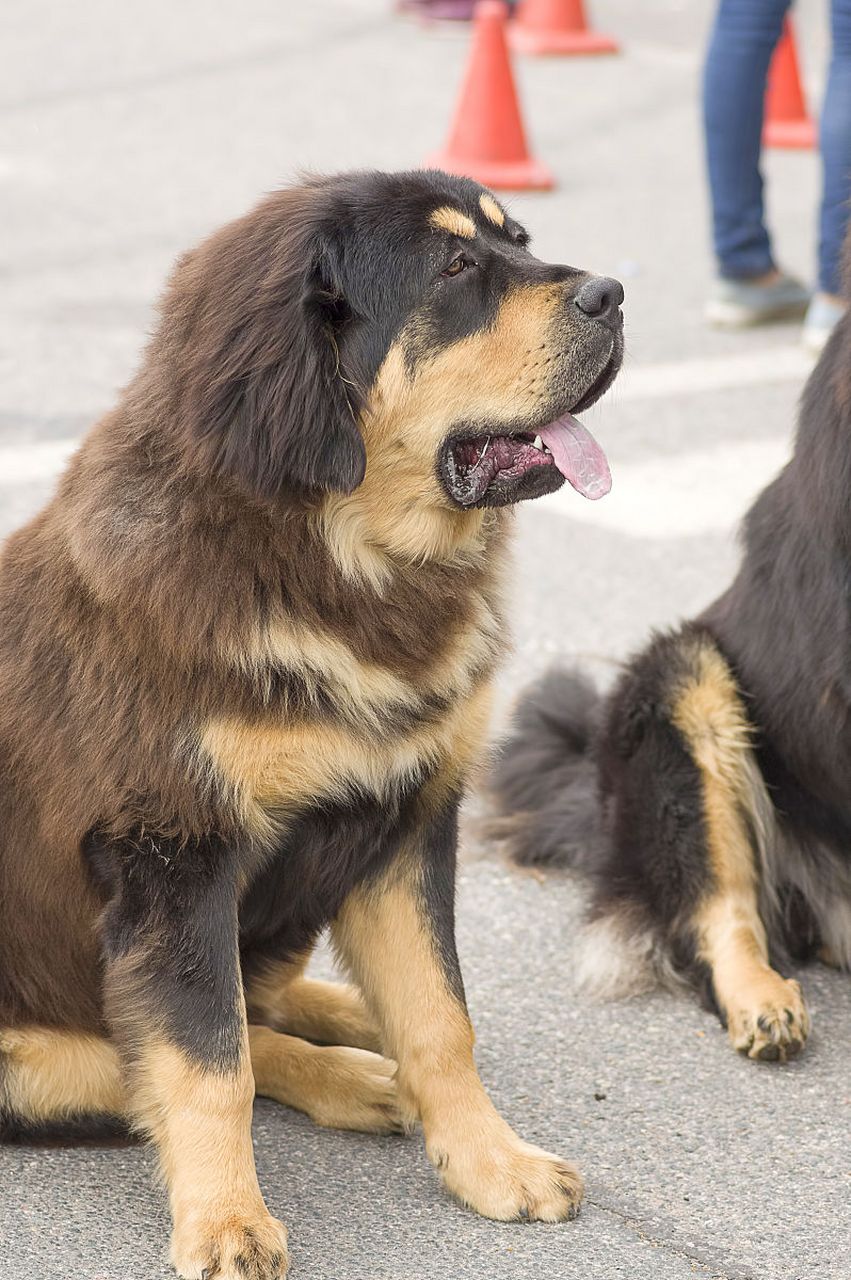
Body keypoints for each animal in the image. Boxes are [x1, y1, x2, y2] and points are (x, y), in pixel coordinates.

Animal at [0, 172, 624, 1280]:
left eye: (518, 238)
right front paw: (225, 1221)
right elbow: (207, 1063)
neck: (340, 554)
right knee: (144, 1053)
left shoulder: (403, 817)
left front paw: (488, 1160)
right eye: (453, 268)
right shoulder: (175, 857)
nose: (613, 294)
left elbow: (439, 1018)